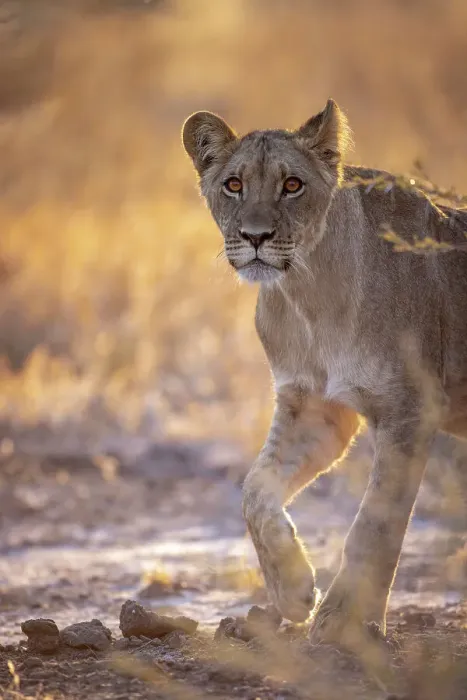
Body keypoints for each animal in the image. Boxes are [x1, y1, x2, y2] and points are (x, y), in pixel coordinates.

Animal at [182, 100, 467, 664]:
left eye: (292, 185)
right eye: (233, 185)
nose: (256, 238)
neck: (306, 293)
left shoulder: (410, 409)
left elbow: (375, 521)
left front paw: (342, 622)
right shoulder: (314, 408)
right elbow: (255, 491)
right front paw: (293, 591)